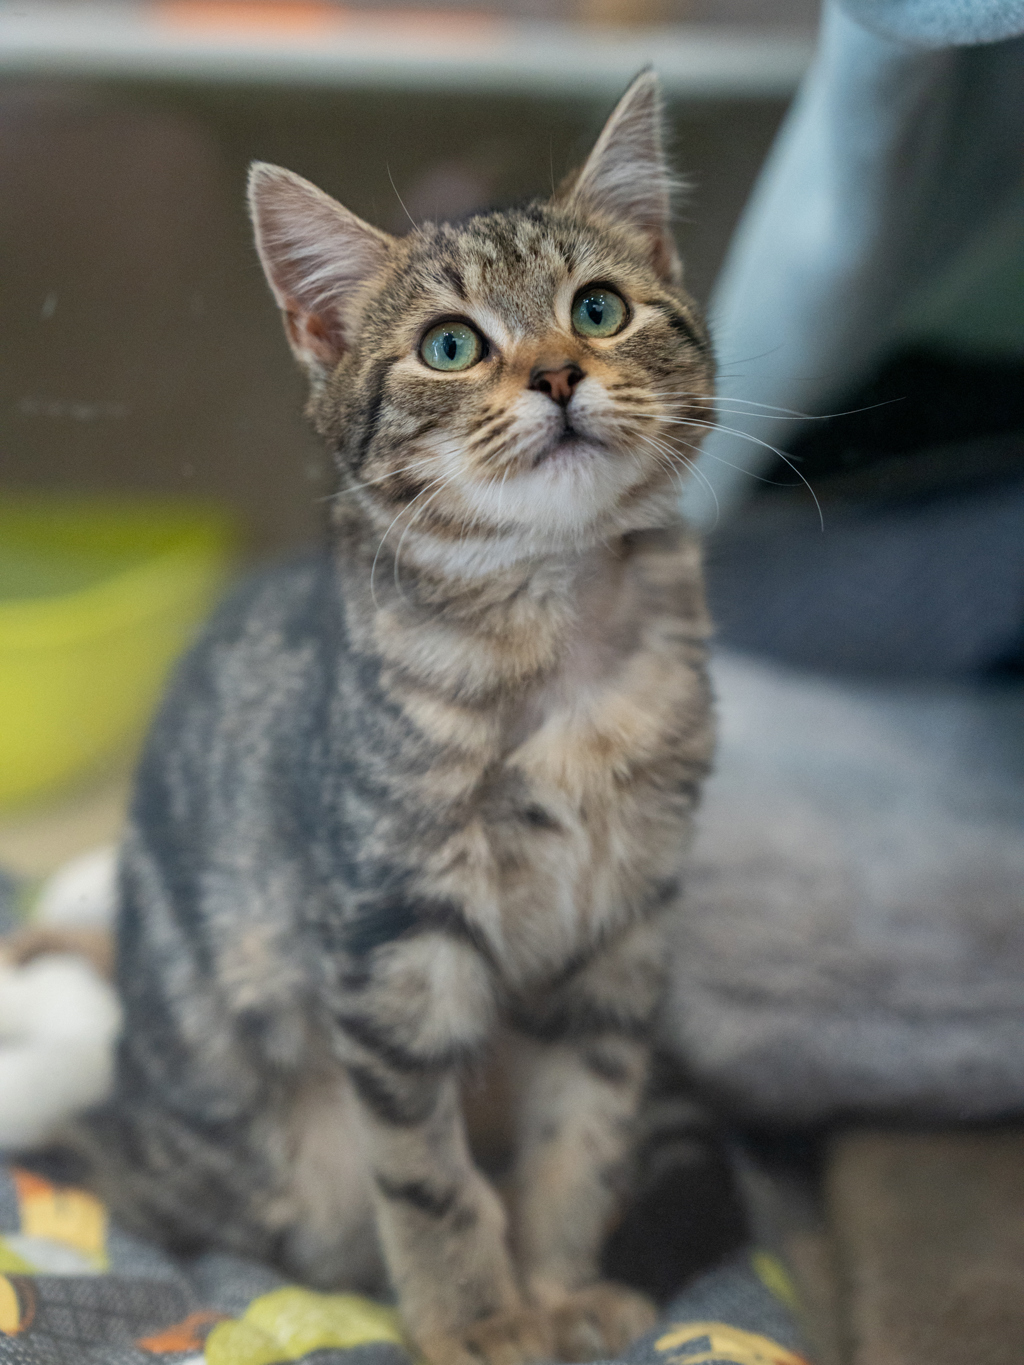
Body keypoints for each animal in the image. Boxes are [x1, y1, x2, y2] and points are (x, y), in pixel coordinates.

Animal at [75, 71, 716, 1365]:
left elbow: (581, 1138)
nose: (558, 375)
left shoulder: (620, 935)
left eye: (600, 308)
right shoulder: (392, 934)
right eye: (450, 346)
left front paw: (563, 1288)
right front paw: (478, 1320)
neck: (559, 641)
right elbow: (428, 1176)